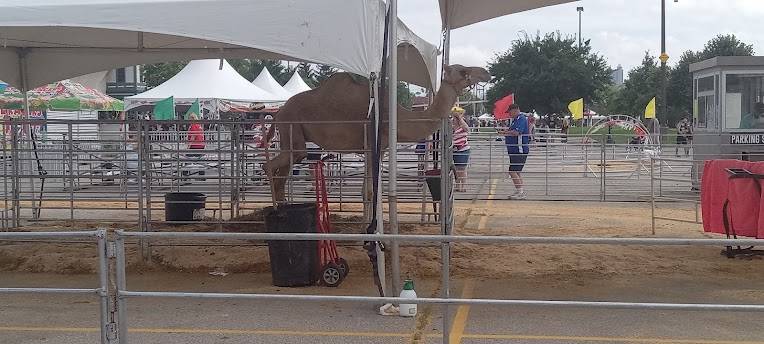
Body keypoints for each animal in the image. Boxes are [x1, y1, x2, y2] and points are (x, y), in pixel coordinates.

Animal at [262, 64, 490, 202]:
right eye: (463, 71)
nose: (486, 72)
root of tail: (279, 112)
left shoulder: (380, 148)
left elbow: (369, 191)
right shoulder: (373, 144)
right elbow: (369, 191)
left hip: (291, 135)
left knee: (284, 167)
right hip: (291, 126)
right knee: (274, 164)